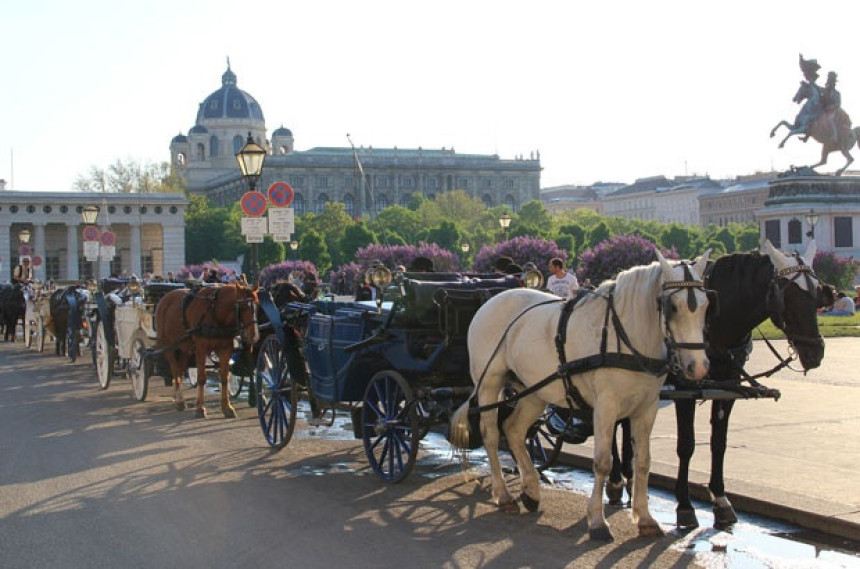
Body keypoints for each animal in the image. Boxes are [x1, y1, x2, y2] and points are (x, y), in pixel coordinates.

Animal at [156, 280, 258, 418]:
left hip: (184, 348)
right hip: (168, 346)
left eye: (257, 306)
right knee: (175, 370)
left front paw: (227, 407)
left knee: (180, 370)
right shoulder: (201, 348)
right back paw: (180, 400)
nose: (254, 335)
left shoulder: (225, 348)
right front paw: (200, 408)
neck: (215, 313)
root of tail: (165, 298)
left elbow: (224, 377)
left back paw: (176, 397)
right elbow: (201, 378)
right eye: (244, 307)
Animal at [446, 251, 708, 540]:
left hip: (535, 388)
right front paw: (597, 521)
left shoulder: (647, 407)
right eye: (672, 307)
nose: (698, 367)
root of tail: (491, 300)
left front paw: (645, 518)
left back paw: (531, 490)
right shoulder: (606, 406)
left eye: (706, 305)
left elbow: (643, 462)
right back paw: (503, 494)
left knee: (514, 429)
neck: (625, 334)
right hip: (489, 383)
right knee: (491, 434)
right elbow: (602, 462)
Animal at [604, 242, 832, 532]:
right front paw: (685, 506)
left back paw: (629, 478)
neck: (720, 325)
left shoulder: (729, 386)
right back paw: (615, 480)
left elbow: (718, 443)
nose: (815, 352)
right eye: (789, 296)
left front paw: (721, 500)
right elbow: (686, 445)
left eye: (817, 295)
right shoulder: (685, 388)